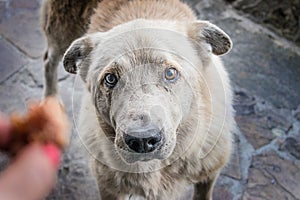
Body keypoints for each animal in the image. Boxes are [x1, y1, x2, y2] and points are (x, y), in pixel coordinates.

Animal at [41, 0, 234, 199]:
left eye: (170, 73)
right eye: (110, 78)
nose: (142, 141)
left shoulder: (209, 174)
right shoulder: (108, 187)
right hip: (60, 34)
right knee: (48, 61)